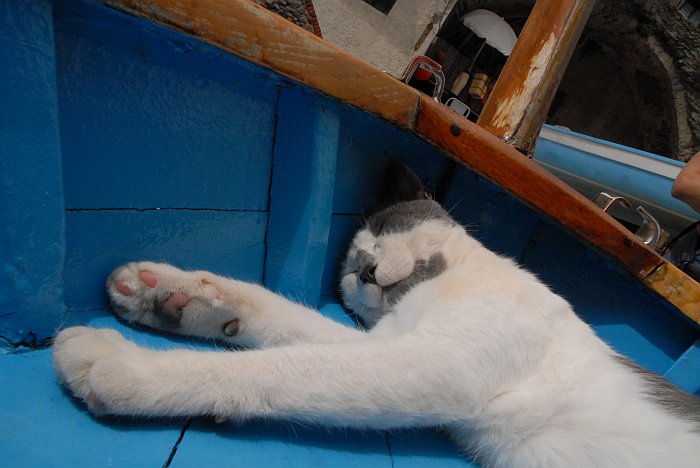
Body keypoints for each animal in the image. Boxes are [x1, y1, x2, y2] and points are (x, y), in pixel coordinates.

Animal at [53, 161, 700, 464]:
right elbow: (279, 319)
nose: (362, 268)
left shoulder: (440, 364)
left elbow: (279, 370)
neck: (440, 284)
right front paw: (170, 296)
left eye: (384, 230)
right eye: (345, 271)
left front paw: (126, 367)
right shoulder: (392, 340)